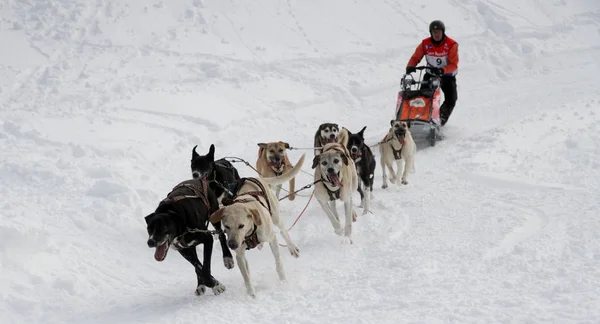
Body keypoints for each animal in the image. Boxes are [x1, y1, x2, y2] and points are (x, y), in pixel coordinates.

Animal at [210, 153, 304, 298]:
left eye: (241, 225)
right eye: (226, 227)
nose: (232, 244)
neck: (250, 232)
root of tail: (255, 177)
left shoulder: (272, 238)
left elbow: (278, 262)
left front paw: (283, 281)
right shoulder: (239, 255)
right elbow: (246, 276)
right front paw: (251, 295)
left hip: (275, 217)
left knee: (283, 231)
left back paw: (292, 248)